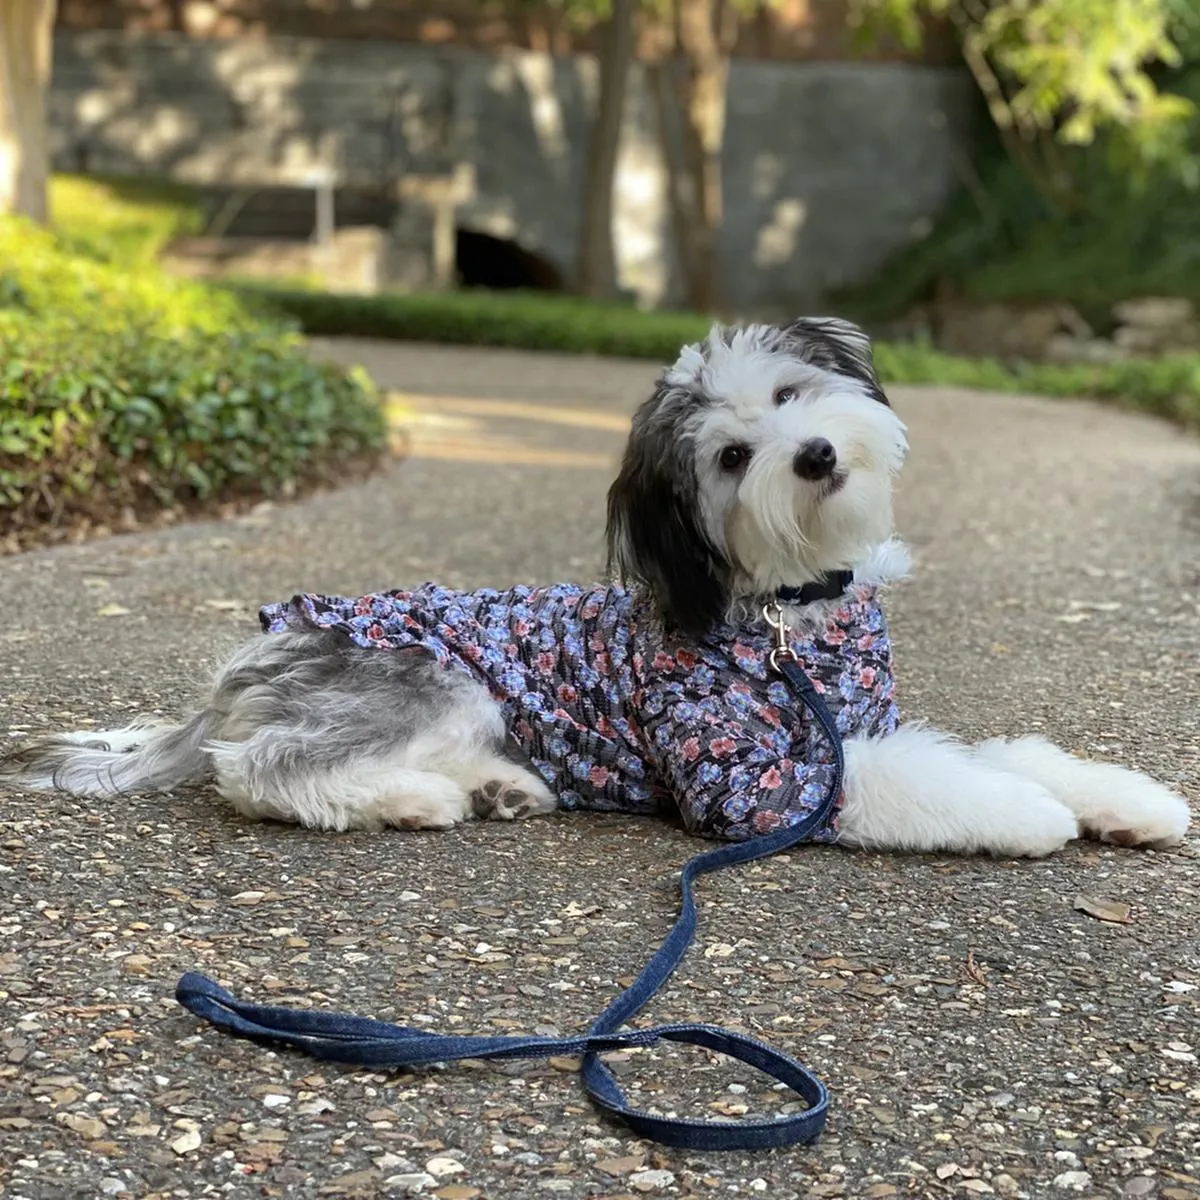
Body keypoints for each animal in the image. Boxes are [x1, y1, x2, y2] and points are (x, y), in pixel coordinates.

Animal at [2, 319, 1190, 859]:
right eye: (728, 458)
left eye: (790, 393)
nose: (812, 455)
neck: (786, 611)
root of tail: (247, 666)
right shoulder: (756, 781)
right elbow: (934, 781)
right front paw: (1032, 817)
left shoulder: (857, 719)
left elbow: (1001, 750)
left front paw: (1125, 800)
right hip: (423, 675)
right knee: (257, 770)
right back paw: (412, 799)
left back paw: (497, 788)